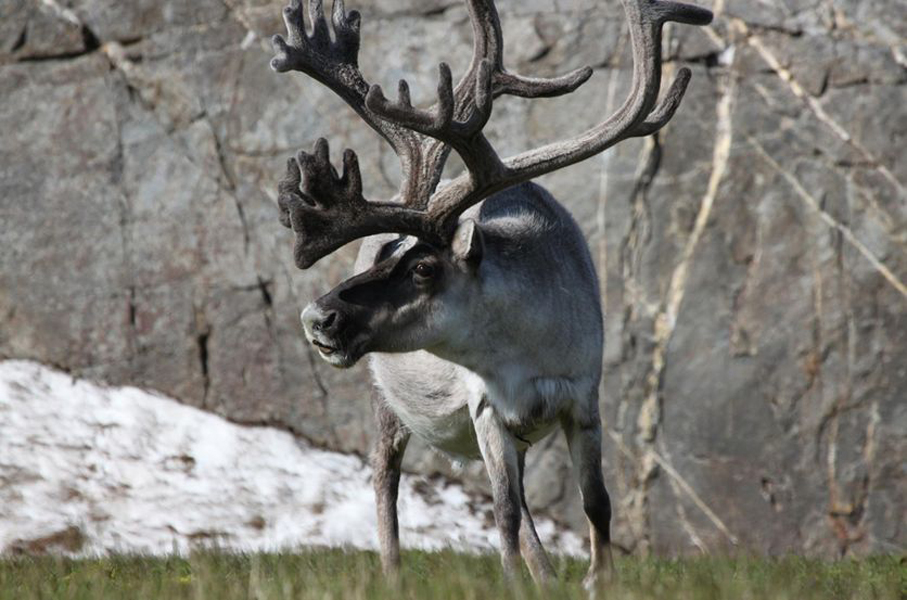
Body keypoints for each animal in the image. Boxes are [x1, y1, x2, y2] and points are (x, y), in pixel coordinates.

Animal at [269, 0, 712, 588]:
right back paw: (395, 574)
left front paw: (598, 580)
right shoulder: (486, 409)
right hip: (386, 403)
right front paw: (519, 583)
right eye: (390, 251)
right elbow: (503, 512)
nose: (318, 316)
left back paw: (547, 577)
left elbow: (596, 503)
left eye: (424, 267)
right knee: (386, 478)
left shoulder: (584, 397)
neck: (524, 351)